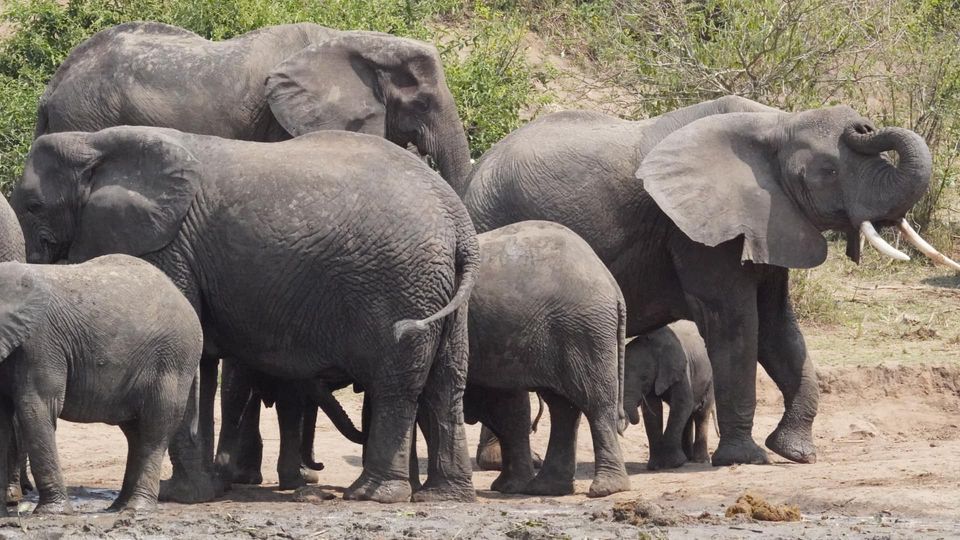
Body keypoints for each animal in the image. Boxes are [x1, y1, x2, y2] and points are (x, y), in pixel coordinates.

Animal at [0, 254, 202, 516]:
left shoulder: (40, 344)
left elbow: (37, 408)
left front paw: (50, 513)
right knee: (135, 432)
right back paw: (117, 507)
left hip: (173, 360)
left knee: (155, 429)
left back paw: (137, 509)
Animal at [624, 320, 712, 468]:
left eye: (644, 378)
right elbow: (653, 411)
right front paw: (655, 466)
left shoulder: (681, 367)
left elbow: (682, 403)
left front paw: (673, 463)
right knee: (689, 414)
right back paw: (687, 458)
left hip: (710, 380)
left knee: (701, 412)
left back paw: (700, 460)